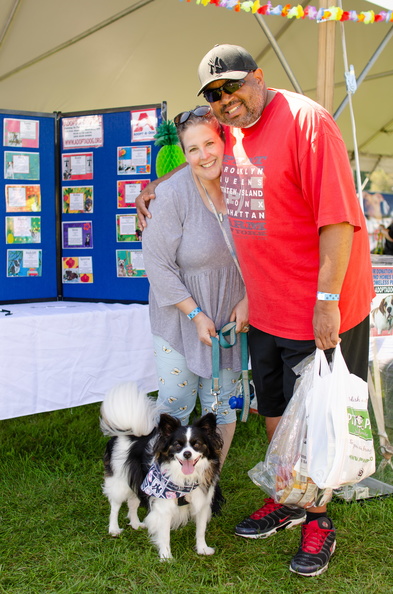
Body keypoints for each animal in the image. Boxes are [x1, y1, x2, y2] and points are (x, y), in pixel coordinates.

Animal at [99, 382, 222, 556]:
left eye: (197, 444)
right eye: (177, 444)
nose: (187, 453)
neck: (185, 478)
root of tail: (129, 433)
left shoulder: (202, 503)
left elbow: (201, 530)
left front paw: (202, 549)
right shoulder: (164, 506)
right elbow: (164, 535)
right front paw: (166, 556)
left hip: (137, 482)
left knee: (132, 503)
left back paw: (136, 524)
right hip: (120, 483)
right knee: (115, 506)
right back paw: (114, 529)